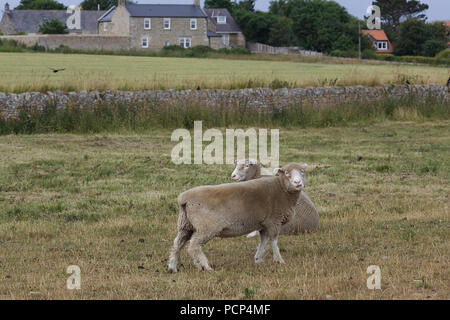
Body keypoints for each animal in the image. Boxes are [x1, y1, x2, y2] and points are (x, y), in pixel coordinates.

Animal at [167, 162, 308, 272]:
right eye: (287, 173)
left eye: (302, 172)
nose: (298, 182)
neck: (281, 189)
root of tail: (184, 198)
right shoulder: (274, 221)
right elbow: (274, 241)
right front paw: (279, 260)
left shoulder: (264, 223)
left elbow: (263, 241)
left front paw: (258, 259)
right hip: (206, 227)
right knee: (194, 246)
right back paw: (205, 267)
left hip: (185, 224)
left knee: (177, 244)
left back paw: (172, 267)